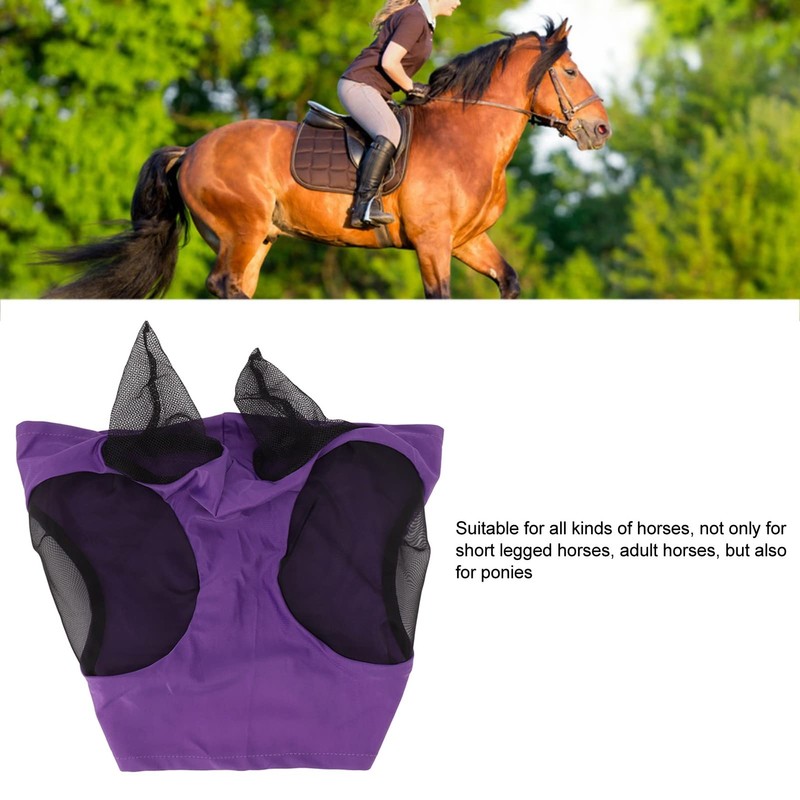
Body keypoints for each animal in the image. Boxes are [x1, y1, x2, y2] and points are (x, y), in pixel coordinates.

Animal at [44, 18, 610, 300]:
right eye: (572, 71)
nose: (602, 129)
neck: (464, 137)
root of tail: (192, 149)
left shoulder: (467, 240)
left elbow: (509, 282)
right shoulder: (433, 244)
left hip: (257, 239)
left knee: (236, 289)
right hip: (240, 232)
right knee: (225, 287)